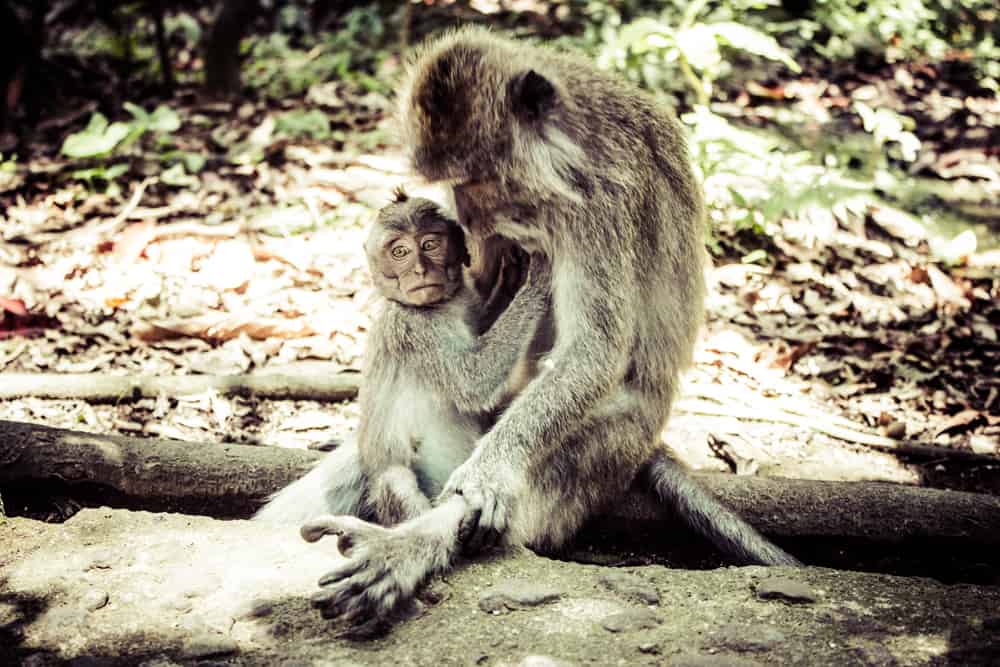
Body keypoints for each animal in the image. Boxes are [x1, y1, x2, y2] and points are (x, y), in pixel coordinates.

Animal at [300, 27, 800, 628]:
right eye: (454, 187)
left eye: (477, 180)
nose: (468, 219)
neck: (579, 145)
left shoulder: (601, 208)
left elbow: (593, 350)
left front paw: (481, 482)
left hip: (619, 441)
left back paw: (413, 543)